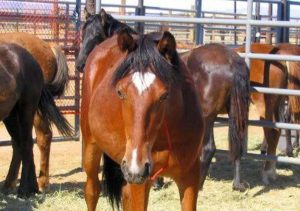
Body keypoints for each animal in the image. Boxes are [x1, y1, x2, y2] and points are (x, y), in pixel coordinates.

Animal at [0, 32, 71, 192]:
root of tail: (47, 45)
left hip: (34, 110)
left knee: (42, 137)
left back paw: (41, 184)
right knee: (18, 143)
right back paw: (10, 184)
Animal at [81, 29, 205, 211]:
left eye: (164, 95)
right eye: (120, 92)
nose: (136, 167)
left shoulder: (190, 177)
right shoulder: (140, 184)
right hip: (92, 149)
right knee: (92, 191)